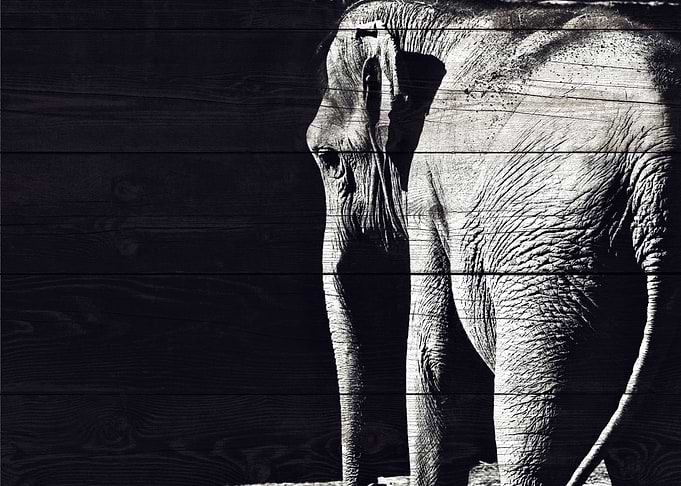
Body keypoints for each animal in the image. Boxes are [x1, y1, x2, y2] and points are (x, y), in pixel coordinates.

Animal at [306, 0, 681, 485]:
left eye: (328, 158)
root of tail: (661, 159)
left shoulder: (429, 194)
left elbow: (433, 359)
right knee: (652, 453)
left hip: (554, 266)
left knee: (531, 427)